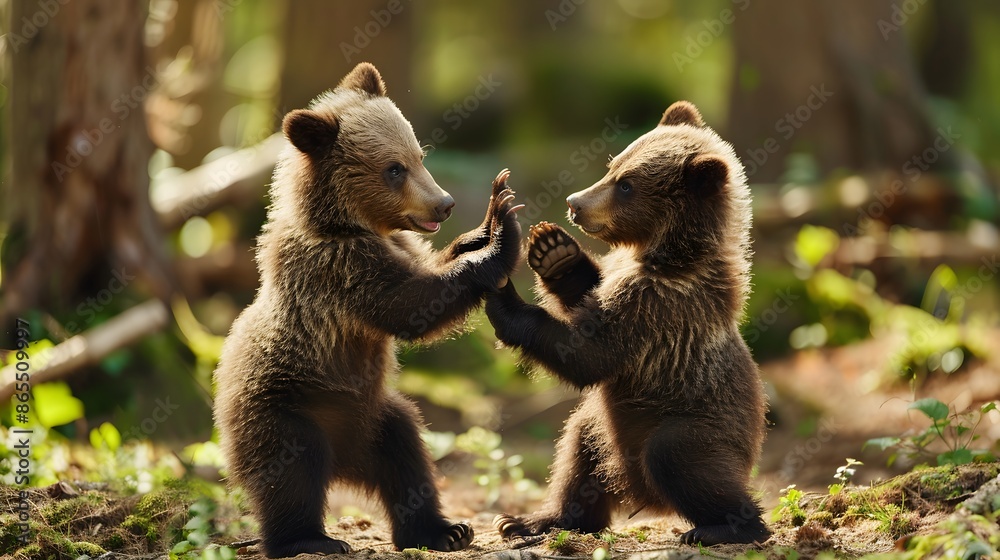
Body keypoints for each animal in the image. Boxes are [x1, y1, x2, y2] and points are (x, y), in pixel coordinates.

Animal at [213, 62, 523, 558]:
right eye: (393, 168)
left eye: (419, 154)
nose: (445, 203)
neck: (350, 224)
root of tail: (344, 464)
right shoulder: (339, 272)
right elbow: (411, 305)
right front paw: (502, 232)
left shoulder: (397, 247)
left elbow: (429, 271)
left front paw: (483, 225)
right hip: (288, 407)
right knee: (293, 473)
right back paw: (308, 538)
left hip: (376, 416)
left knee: (407, 454)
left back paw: (442, 529)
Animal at [484, 101, 771, 546]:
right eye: (613, 164)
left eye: (627, 185)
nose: (575, 203)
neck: (664, 255)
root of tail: (645, 497)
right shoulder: (624, 282)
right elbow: (588, 297)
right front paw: (555, 252)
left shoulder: (656, 309)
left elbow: (589, 355)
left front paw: (504, 299)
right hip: (607, 426)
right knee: (579, 449)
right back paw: (532, 520)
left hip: (696, 422)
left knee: (678, 456)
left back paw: (723, 526)